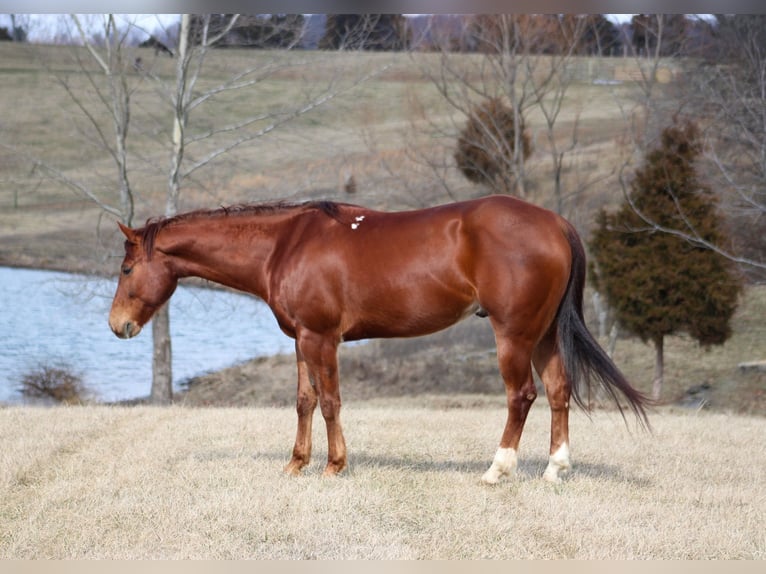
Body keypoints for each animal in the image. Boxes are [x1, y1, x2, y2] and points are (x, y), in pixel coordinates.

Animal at [109, 195, 650, 483]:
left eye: (127, 269)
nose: (117, 326)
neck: (286, 245)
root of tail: (556, 223)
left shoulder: (321, 338)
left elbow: (330, 401)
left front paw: (334, 466)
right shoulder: (300, 339)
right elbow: (304, 401)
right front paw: (295, 464)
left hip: (513, 334)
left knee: (522, 396)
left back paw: (497, 470)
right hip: (543, 333)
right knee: (559, 392)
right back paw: (555, 469)